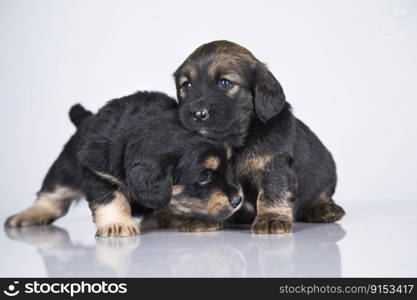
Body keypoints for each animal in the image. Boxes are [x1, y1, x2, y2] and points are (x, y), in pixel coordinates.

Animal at [4, 91, 242, 237]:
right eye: (204, 176)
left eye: (229, 165)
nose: (239, 200)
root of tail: (85, 118)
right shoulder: (97, 171)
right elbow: (111, 198)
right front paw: (116, 224)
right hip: (63, 169)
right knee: (52, 197)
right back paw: (27, 215)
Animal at [172, 39, 344, 233]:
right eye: (187, 85)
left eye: (225, 83)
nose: (197, 114)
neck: (236, 143)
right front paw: (205, 217)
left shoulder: (273, 165)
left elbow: (272, 191)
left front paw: (271, 218)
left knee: (322, 194)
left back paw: (324, 208)